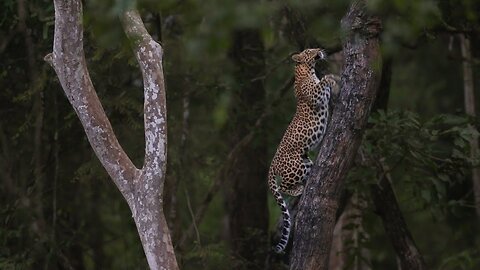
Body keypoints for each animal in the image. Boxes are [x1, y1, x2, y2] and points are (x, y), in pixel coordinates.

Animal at [268, 48, 340, 253]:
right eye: (309, 51)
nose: (320, 50)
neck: (308, 71)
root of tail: (272, 165)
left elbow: (326, 81)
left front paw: (336, 78)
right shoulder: (315, 95)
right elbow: (324, 82)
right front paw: (334, 80)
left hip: (306, 162)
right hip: (296, 165)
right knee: (283, 186)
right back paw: (299, 190)